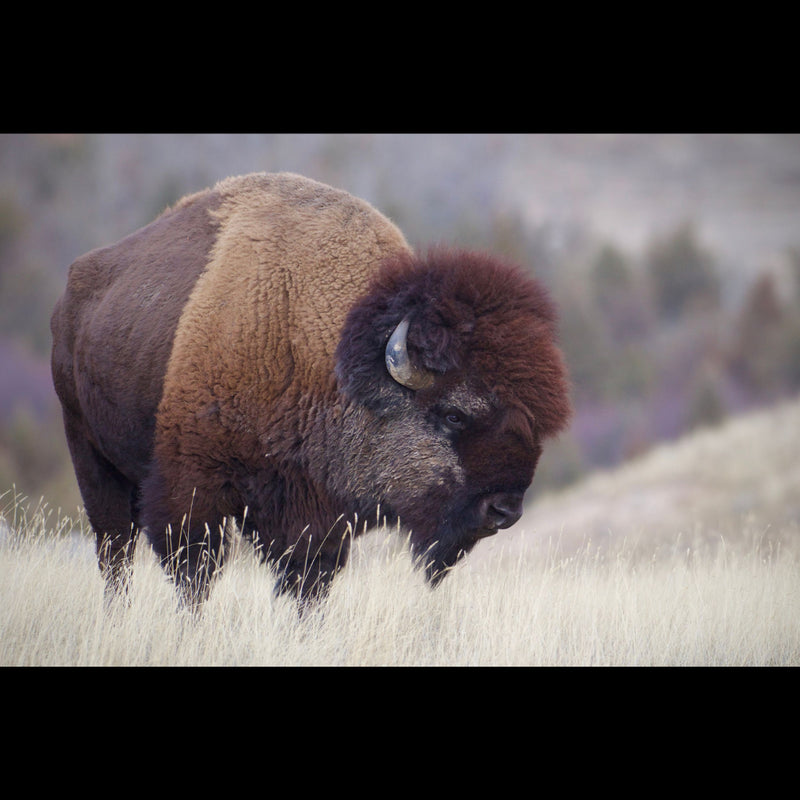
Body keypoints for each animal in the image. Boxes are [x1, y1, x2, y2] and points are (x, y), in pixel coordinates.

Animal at [51, 172, 571, 608]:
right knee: (115, 548)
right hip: (90, 454)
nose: (504, 510)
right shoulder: (191, 488)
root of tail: (73, 289)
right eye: (454, 414)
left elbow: (307, 585)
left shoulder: (314, 517)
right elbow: (195, 572)